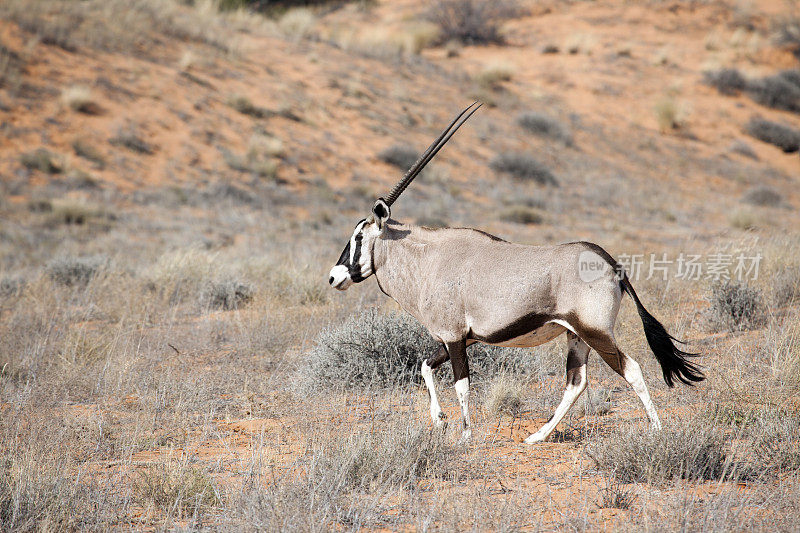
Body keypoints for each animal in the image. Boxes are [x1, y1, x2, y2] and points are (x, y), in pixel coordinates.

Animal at [328, 102, 704, 442]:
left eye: (358, 236)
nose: (334, 277)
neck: (428, 260)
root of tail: (611, 264)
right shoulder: (456, 339)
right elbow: (424, 367)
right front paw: (439, 420)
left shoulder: (454, 337)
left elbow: (462, 385)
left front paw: (465, 434)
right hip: (577, 335)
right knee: (576, 382)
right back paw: (537, 436)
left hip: (596, 332)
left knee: (631, 369)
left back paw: (657, 430)